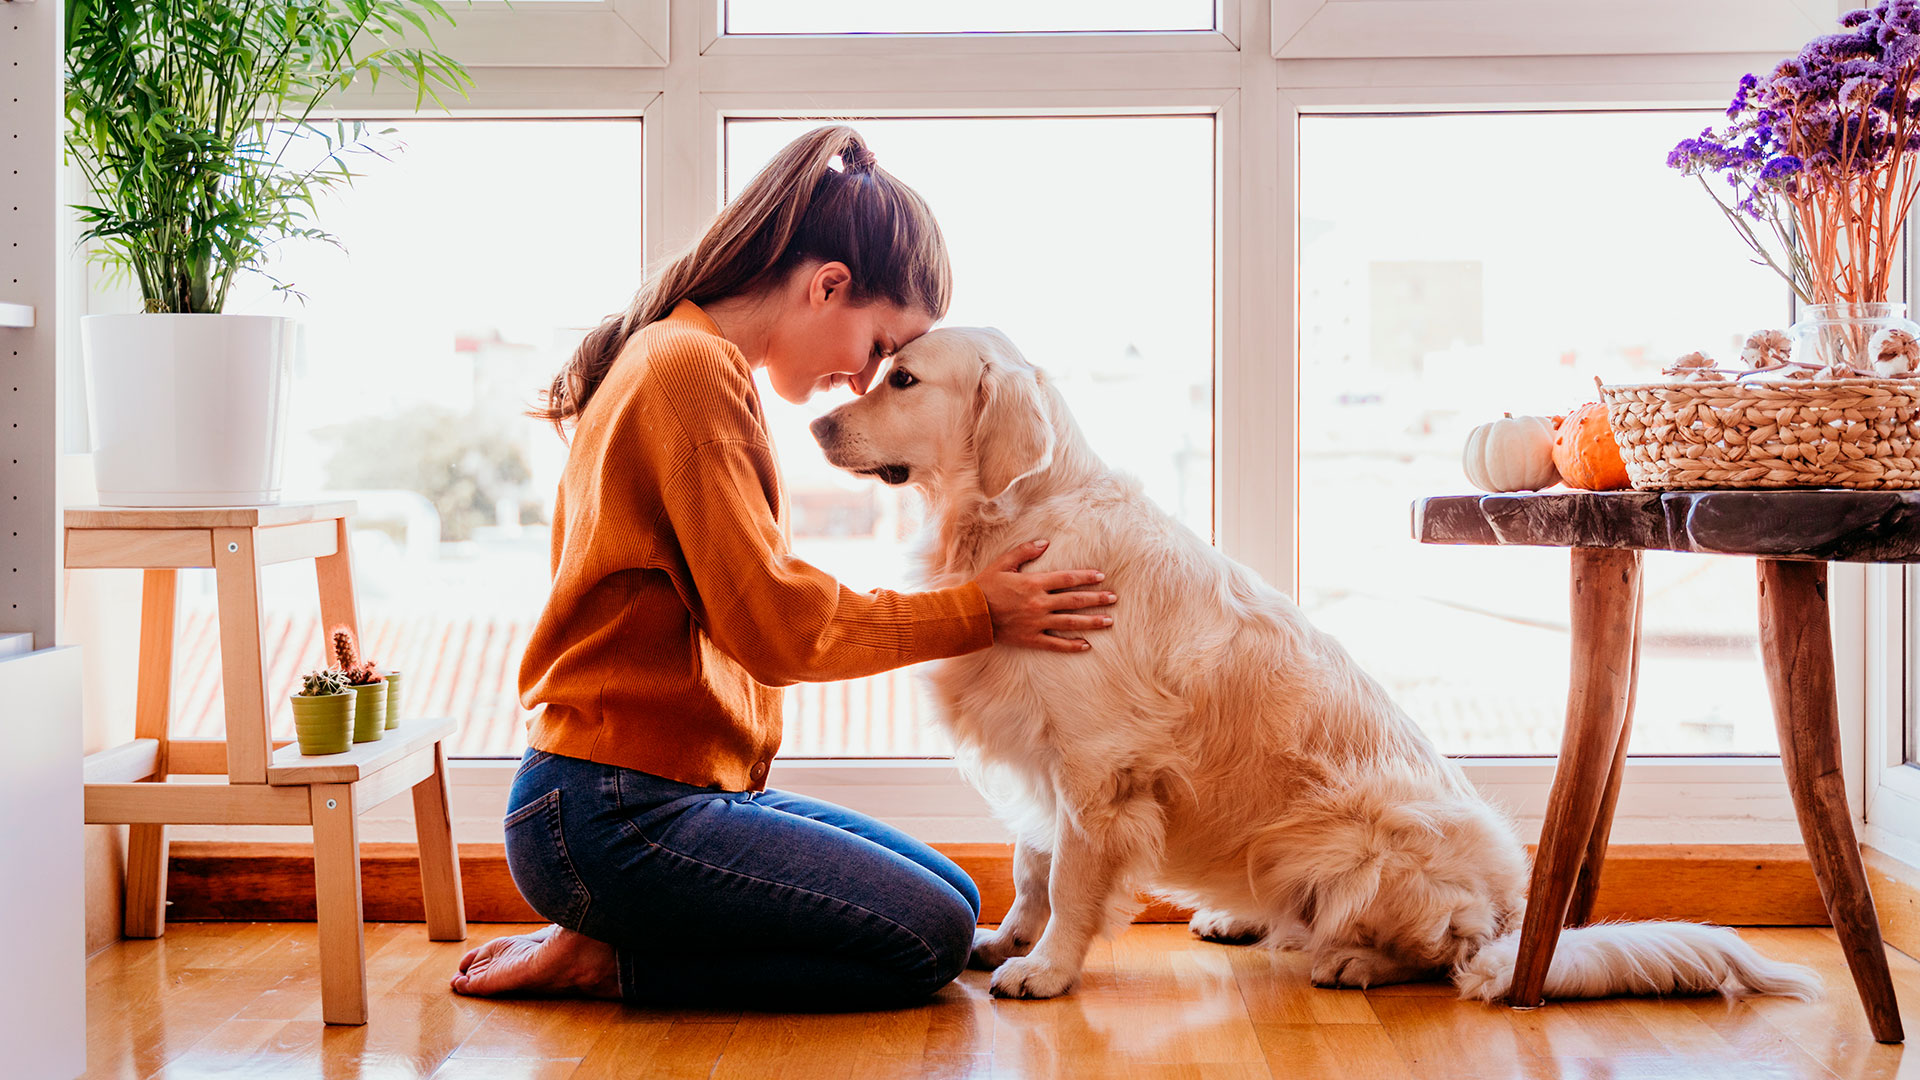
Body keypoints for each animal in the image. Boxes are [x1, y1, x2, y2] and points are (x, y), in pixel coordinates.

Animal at [802, 328, 1820, 999]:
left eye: (902, 379)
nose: (813, 427)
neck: (1013, 520)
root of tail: (1509, 916)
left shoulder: (1096, 767)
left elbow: (1074, 880)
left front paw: (1044, 968)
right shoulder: (1041, 753)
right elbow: (1031, 863)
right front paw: (1005, 939)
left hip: (1361, 840)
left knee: (1439, 955)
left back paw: (1350, 959)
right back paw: (1242, 917)